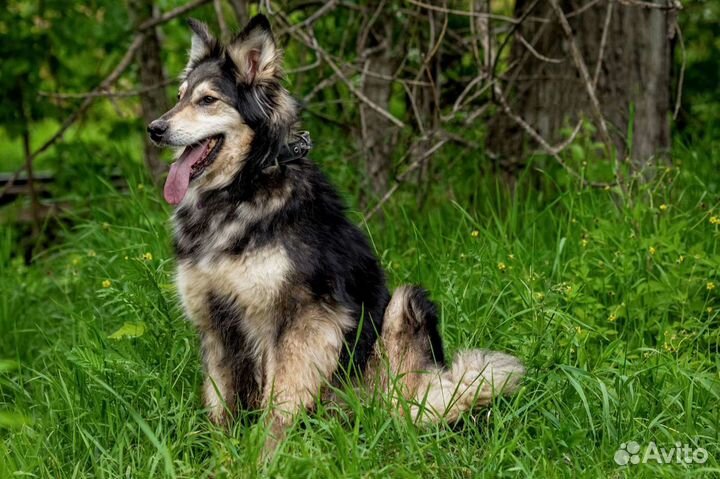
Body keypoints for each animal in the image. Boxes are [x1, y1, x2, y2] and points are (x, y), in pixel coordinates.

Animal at [149, 12, 524, 454]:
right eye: (179, 96)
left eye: (208, 100)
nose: (155, 128)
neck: (241, 189)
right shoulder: (215, 322)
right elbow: (220, 404)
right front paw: (222, 457)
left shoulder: (304, 318)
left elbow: (282, 397)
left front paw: (268, 456)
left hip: (404, 306)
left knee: (403, 404)